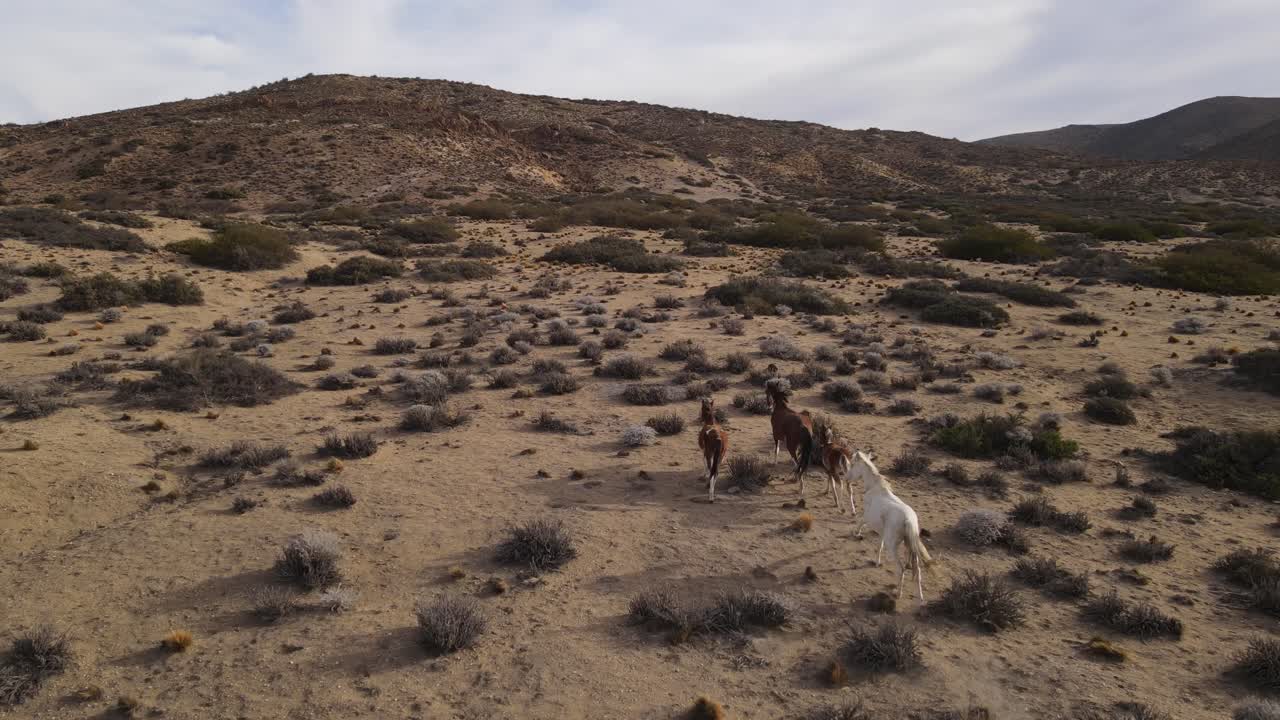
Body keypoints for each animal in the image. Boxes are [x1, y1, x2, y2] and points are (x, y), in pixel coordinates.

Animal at [848, 450, 932, 601]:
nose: (846, 478)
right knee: (917, 570)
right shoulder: (882, 532)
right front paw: (877, 562)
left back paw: (898, 594)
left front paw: (856, 534)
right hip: (910, 546)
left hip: (893, 546)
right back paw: (920, 598)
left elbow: (860, 522)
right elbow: (879, 546)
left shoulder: (868, 517)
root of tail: (909, 520)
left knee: (901, 569)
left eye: (852, 464)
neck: (875, 488)